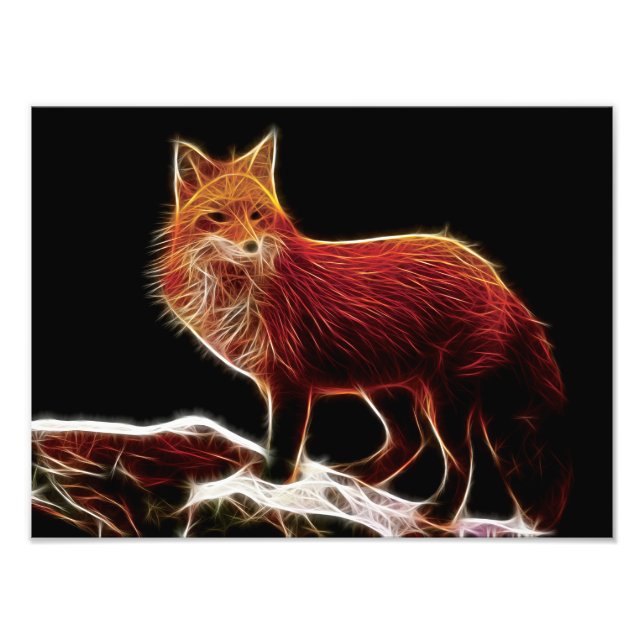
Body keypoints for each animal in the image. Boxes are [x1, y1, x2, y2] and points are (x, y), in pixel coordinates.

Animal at [154, 129, 571, 530]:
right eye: (218, 217)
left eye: (258, 215)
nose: (252, 246)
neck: (236, 292)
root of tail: (493, 277)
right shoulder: (276, 381)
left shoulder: (290, 383)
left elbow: (283, 446)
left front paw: (271, 487)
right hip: (388, 386)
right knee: (410, 441)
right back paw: (358, 479)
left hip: (444, 397)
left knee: (463, 459)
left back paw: (440, 514)